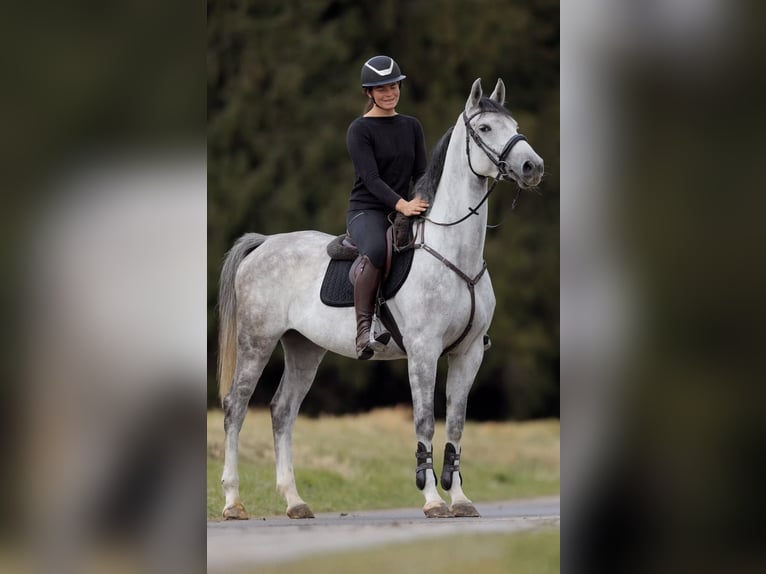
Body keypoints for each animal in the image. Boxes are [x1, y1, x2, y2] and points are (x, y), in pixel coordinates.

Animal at [217, 78, 544, 519]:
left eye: (515, 125)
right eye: (486, 128)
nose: (533, 167)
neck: (453, 253)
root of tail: (265, 243)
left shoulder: (469, 352)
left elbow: (456, 426)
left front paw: (460, 500)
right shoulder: (424, 352)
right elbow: (425, 422)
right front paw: (432, 501)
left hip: (304, 348)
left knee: (283, 411)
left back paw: (295, 501)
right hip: (257, 341)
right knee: (235, 407)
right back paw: (233, 502)